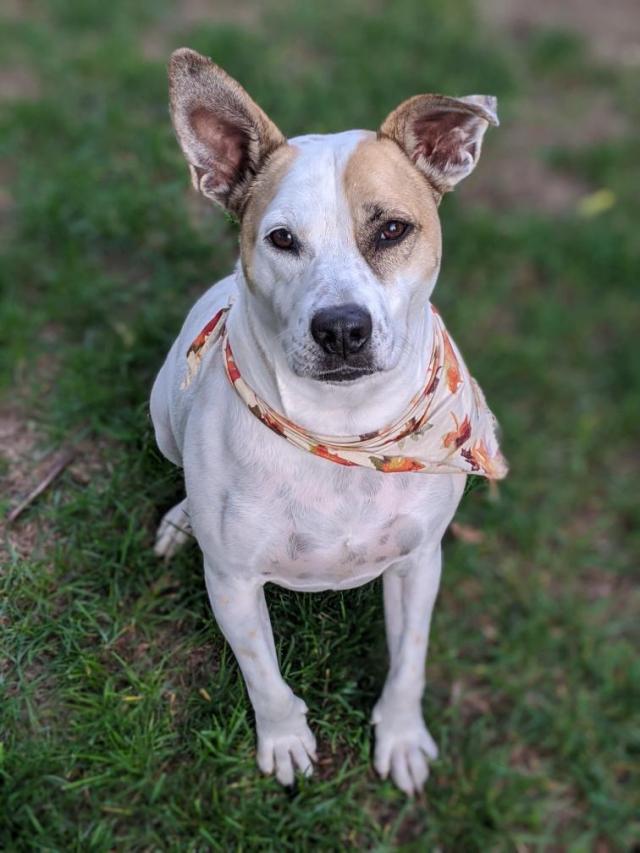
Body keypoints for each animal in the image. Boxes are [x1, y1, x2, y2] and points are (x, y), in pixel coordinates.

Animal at [150, 45, 504, 792]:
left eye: (393, 229)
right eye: (282, 240)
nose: (341, 328)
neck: (345, 428)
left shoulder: (419, 563)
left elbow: (410, 662)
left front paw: (402, 737)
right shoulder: (232, 584)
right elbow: (264, 676)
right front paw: (285, 740)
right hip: (163, 414)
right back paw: (181, 519)